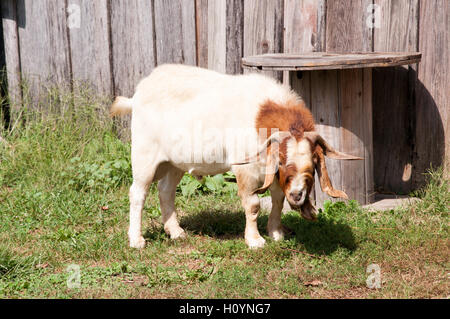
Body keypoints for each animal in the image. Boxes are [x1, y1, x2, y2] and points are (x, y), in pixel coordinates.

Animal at [112, 64, 362, 250]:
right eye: (282, 160)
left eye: (311, 165)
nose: (298, 195)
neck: (262, 117)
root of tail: (137, 95)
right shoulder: (247, 169)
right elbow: (253, 205)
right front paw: (255, 240)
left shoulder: (271, 173)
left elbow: (278, 200)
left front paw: (276, 232)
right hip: (144, 154)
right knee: (138, 193)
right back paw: (136, 240)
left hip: (175, 162)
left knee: (165, 190)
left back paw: (176, 232)